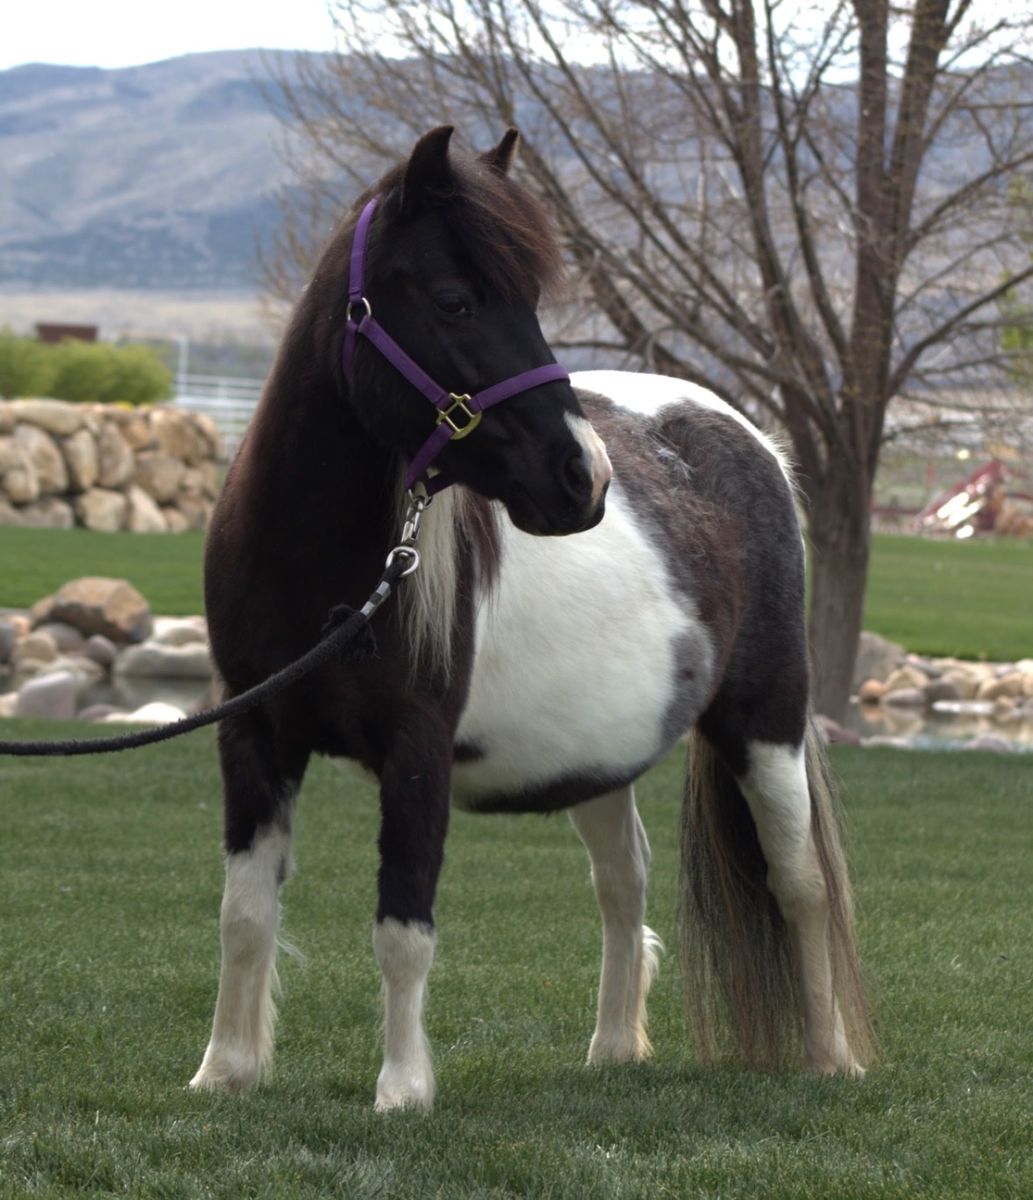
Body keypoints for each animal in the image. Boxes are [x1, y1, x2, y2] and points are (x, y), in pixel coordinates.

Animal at [189, 125, 872, 1111]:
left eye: (533, 301)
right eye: (454, 299)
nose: (582, 476)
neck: (321, 574)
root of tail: (748, 439)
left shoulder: (418, 751)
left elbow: (402, 927)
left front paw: (402, 1091)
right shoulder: (253, 735)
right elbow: (245, 913)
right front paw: (225, 1072)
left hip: (765, 721)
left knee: (799, 881)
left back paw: (826, 1057)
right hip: (598, 752)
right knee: (624, 880)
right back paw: (614, 1048)